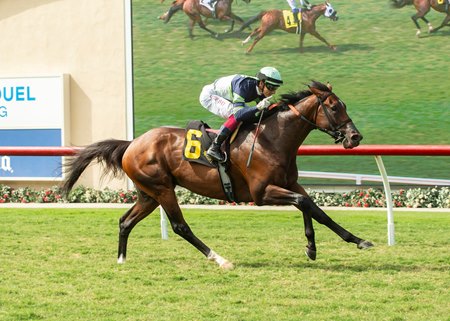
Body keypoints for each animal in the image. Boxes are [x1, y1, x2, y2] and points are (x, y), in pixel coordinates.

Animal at [61, 81, 374, 268]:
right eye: (334, 107)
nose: (355, 137)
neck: (272, 138)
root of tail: (131, 144)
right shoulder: (261, 193)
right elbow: (304, 203)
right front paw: (320, 245)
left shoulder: (290, 183)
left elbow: (313, 209)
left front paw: (344, 242)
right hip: (162, 189)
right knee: (180, 226)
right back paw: (219, 258)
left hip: (148, 194)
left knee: (125, 221)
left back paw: (122, 259)